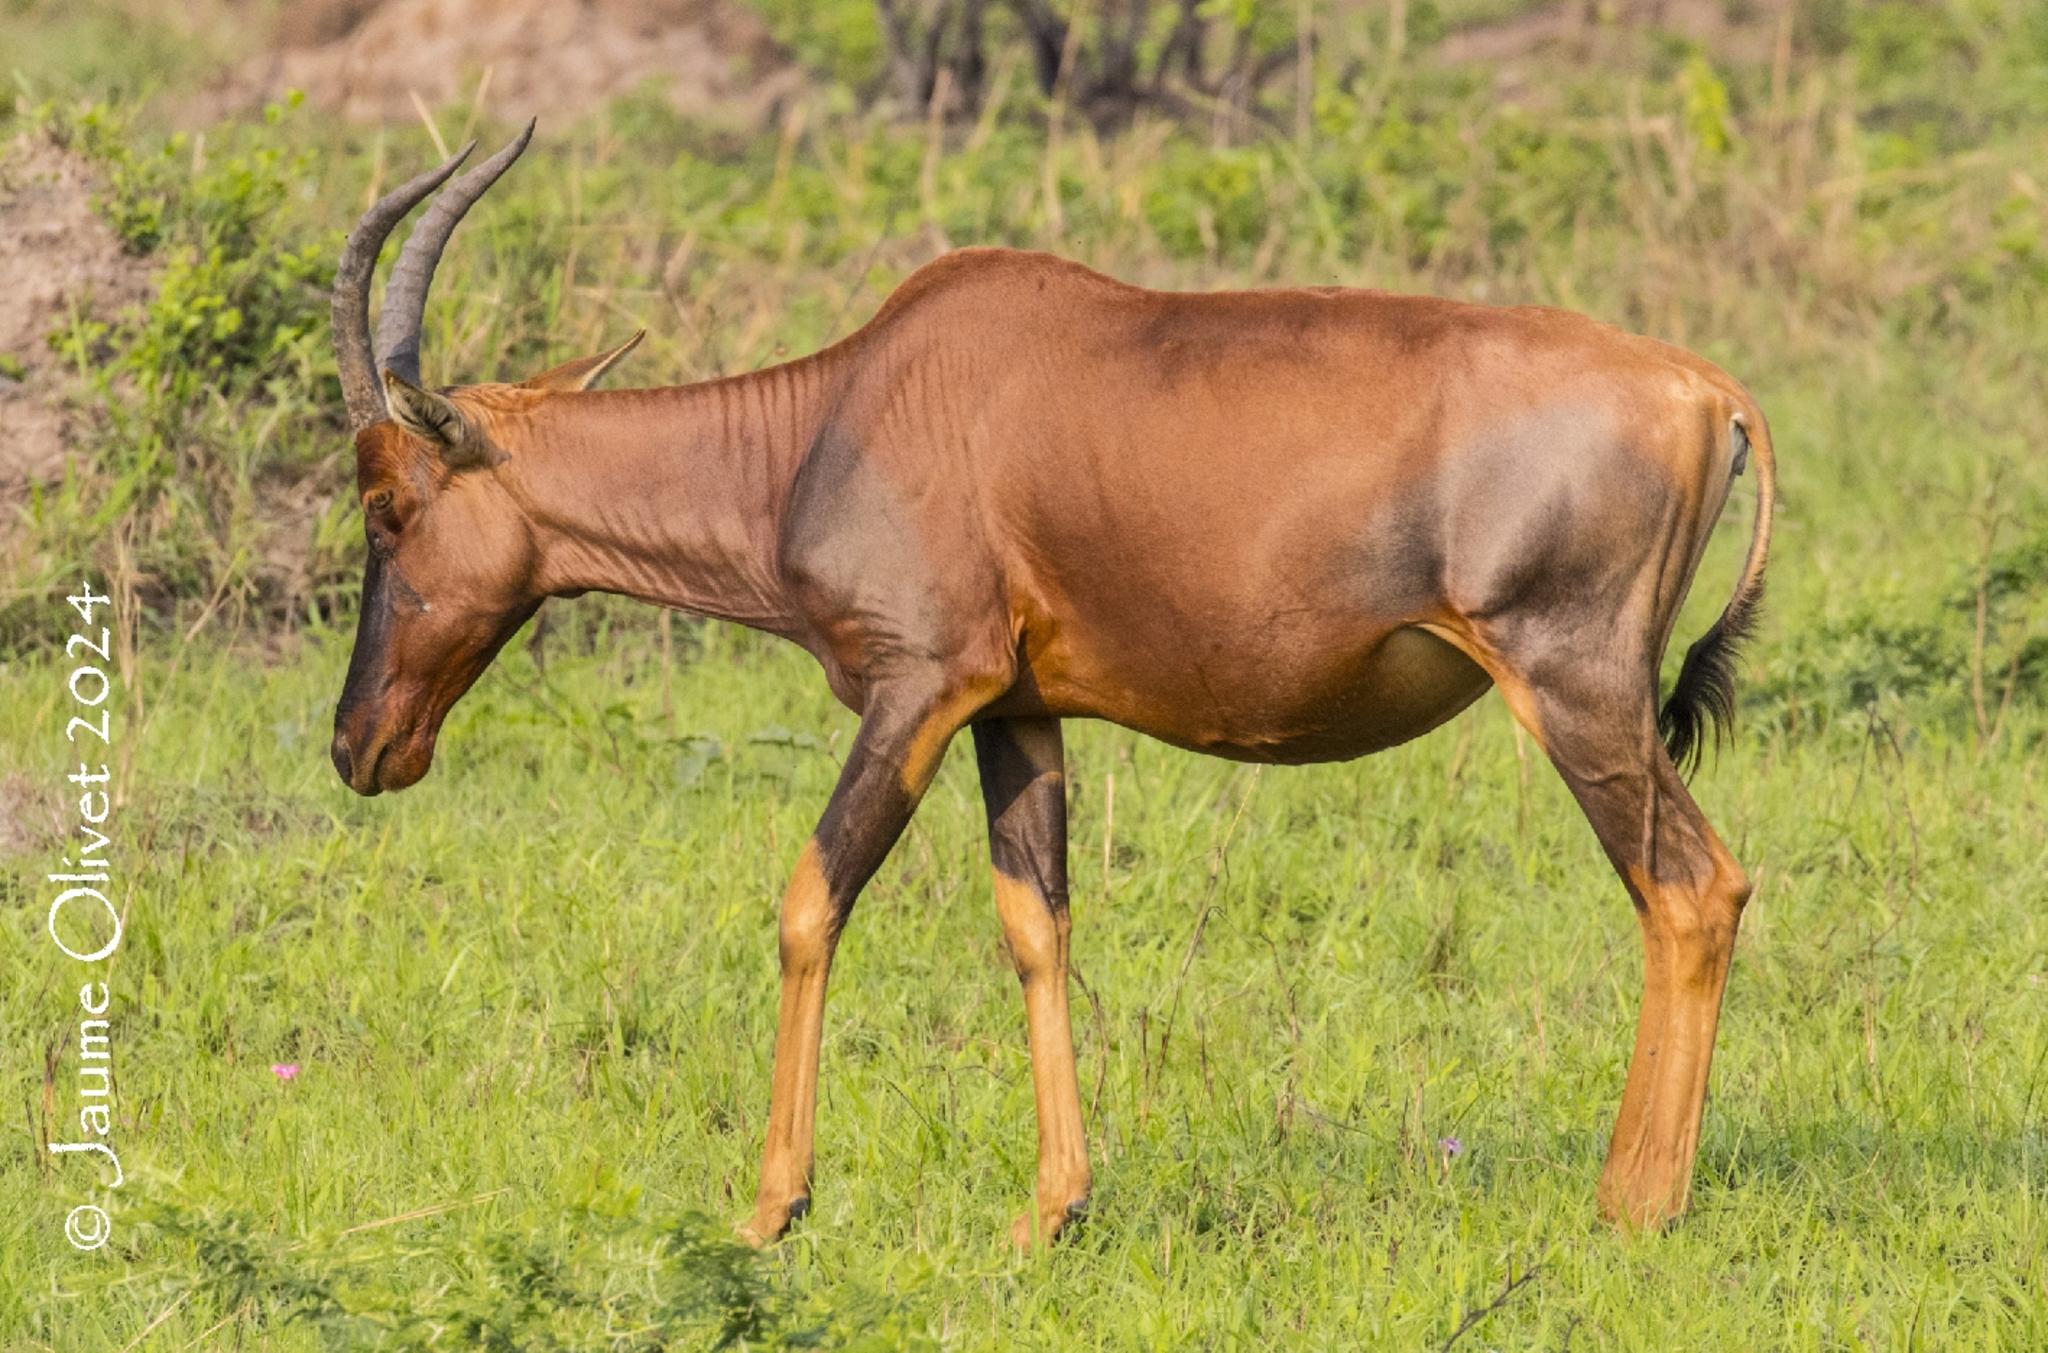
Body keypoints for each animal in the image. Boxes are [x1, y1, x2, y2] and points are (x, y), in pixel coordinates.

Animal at [327, 126, 1769, 1244]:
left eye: (386, 505)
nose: (360, 746)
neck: (848, 411)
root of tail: (1707, 389)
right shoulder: (1016, 713)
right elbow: (1038, 926)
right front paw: (1052, 1210)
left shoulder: (920, 688)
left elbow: (808, 904)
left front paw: (770, 1209)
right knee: (1684, 893)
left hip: (1573, 685)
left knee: (1692, 889)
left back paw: (1635, 1205)